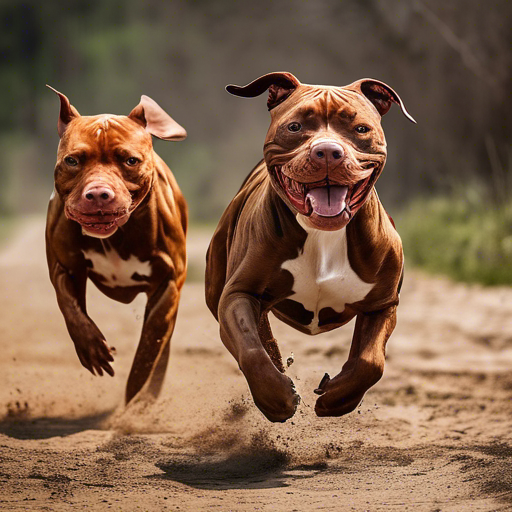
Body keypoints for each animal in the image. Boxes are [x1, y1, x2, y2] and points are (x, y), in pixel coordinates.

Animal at [46, 89, 188, 408]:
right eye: (72, 160)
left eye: (130, 160)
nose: (99, 193)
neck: (115, 236)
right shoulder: (65, 267)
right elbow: (70, 307)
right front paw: (92, 348)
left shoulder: (168, 283)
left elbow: (150, 345)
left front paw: (134, 398)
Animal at [206, 73, 414, 424]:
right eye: (295, 127)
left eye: (360, 128)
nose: (328, 151)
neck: (321, 235)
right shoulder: (238, 293)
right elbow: (251, 350)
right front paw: (276, 399)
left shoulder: (382, 304)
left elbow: (371, 361)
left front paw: (337, 398)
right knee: (258, 335)